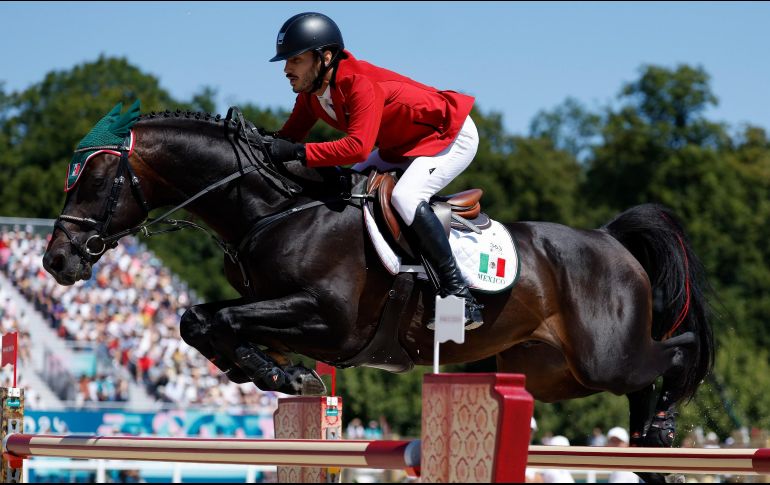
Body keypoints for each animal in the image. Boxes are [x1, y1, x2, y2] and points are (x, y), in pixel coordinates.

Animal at [43, 104, 712, 460]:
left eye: (95, 181)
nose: (57, 261)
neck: (276, 209)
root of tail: (610, 239)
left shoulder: (330, 321)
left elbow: (220, 319)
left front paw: (281, 374)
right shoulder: (274, 306)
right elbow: (199, 319)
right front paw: (276, 373)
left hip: (605, 356)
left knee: (676, 352)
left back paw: (663, 426)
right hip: (554, 373)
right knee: (640, 378)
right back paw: (649, 441)